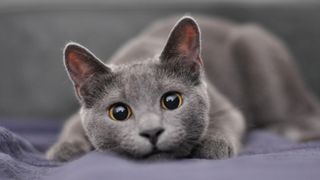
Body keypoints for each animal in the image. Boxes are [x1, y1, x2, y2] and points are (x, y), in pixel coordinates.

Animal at [46, 15, 320, 162]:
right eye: (119, 112)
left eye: (171, 101)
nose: (152, 131)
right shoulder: (76, 117)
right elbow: (71, 126)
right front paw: (63, 151)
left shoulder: (225, 106)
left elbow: (226, 121)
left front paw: (212, 146)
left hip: (257, 53)